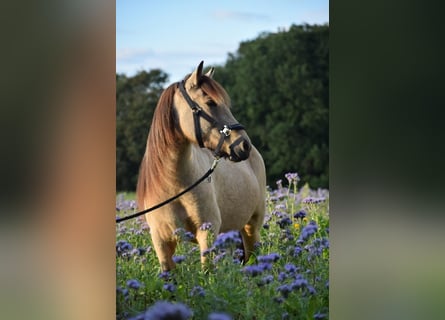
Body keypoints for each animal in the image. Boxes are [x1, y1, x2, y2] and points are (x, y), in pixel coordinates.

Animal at [135, 61, 266, 272]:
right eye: (211, 102)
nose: (244, 145)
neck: (174, 185)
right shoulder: (161, 242)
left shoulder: (207, 232)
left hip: (251, 226)